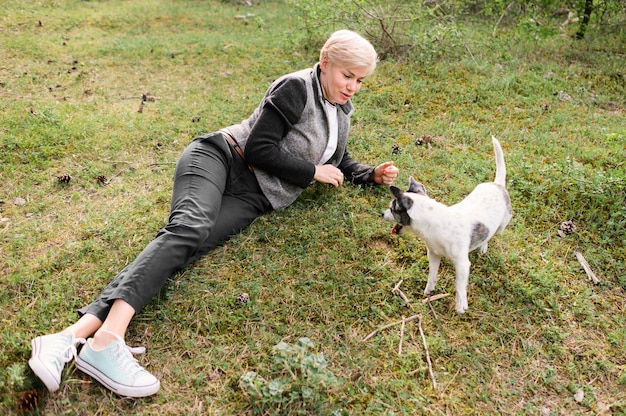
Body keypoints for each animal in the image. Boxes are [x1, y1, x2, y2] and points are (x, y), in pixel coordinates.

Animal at [382, 136, 510, 312]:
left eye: (391, 209)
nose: (381, 214)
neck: (434, 226)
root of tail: (497, 185)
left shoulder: (462, 264)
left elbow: (459, 285)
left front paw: (461, 304)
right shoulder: (434, 255)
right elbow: (432, 274)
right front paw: (429, 290)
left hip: (502, 225)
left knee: (493, 234)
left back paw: (483, 246)